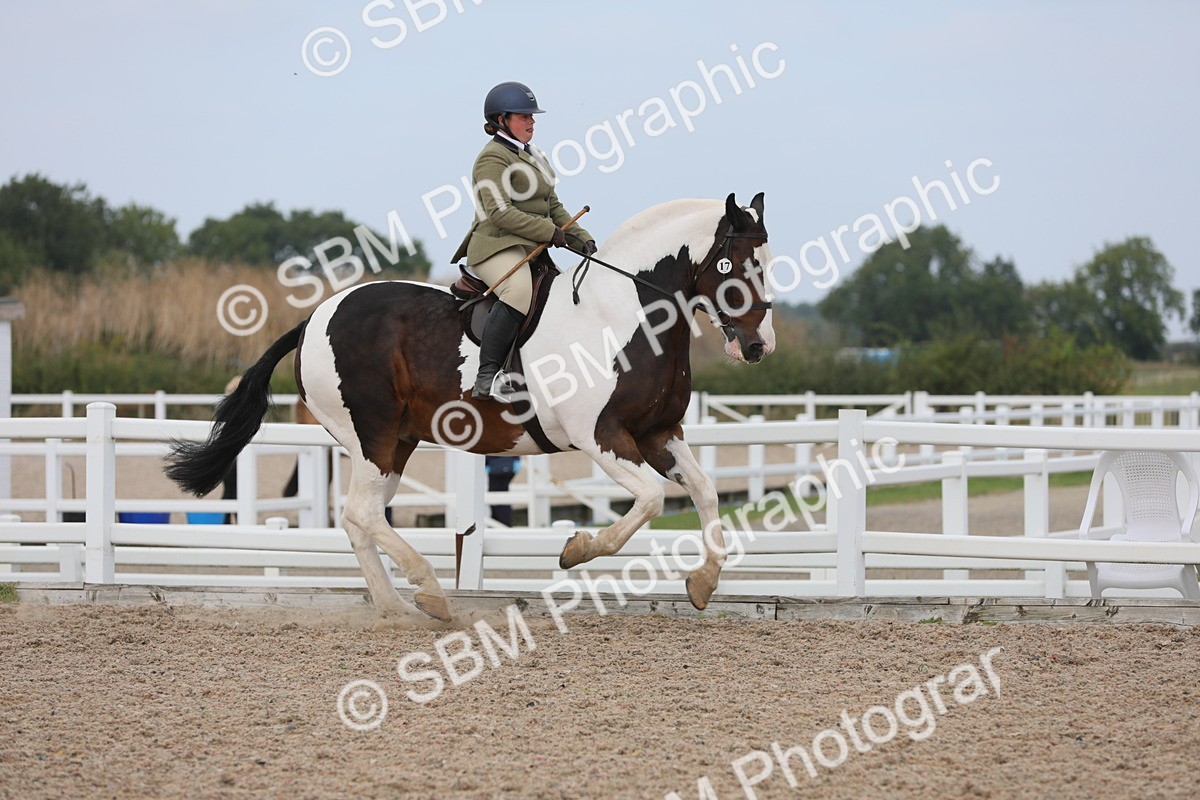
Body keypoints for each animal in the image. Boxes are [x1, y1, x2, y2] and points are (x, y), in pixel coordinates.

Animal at [166, 192, 774, 621]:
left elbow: (705, 491)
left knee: (359, 518)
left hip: (396, 442)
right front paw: (576, 549)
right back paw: (429, 592)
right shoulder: (600, 436)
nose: (757, 348)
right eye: (738, 265)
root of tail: (315, 316)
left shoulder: (660, 434)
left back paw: (395, 606)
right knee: (363, 513)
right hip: (371, 434)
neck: (623, 312)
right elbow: (650, 499)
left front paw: (704, 582)